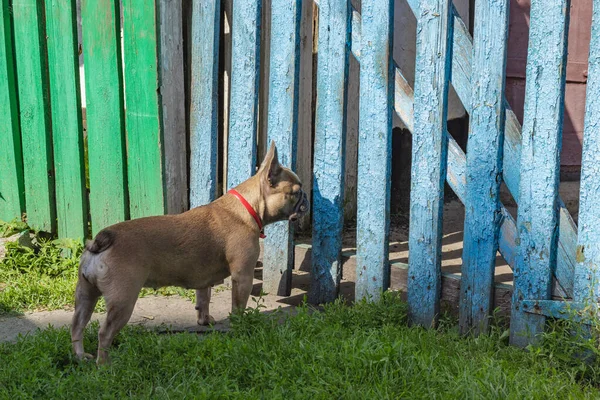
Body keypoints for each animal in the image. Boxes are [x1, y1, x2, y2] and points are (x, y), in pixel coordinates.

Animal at [71, 142, 310, 364]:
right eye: (296, 192)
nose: (307, 198)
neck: (248, 208)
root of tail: (102, 239)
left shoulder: (203, 279)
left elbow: (204, 298)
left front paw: (205, 321)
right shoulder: (243, 276)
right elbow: (238, 306)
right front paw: (240, 325)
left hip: (85, 294)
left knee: (77, 326)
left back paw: (80, 356)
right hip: (123, 300)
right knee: (104, 333)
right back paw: (104, 364)